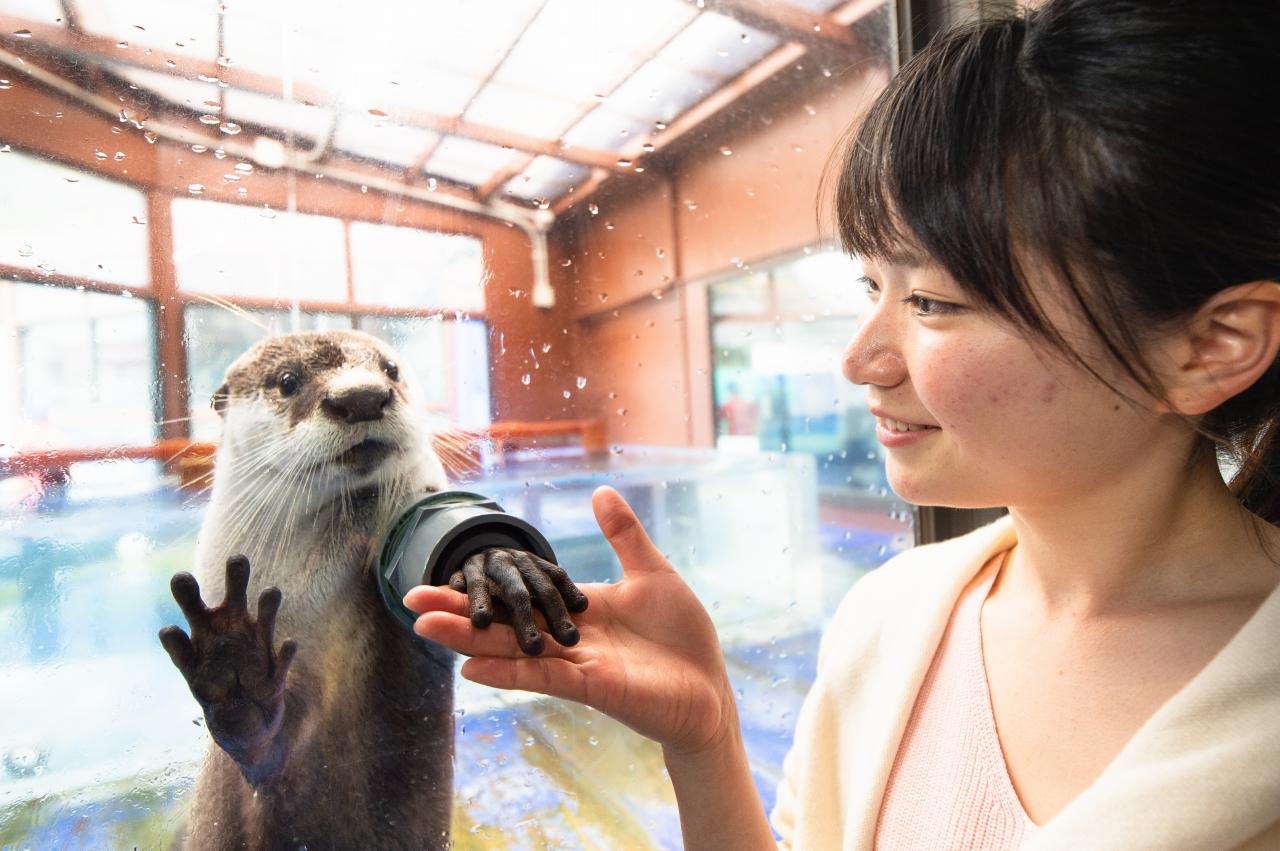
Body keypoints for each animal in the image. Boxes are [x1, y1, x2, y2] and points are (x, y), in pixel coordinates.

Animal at [156, 332, 588, 849]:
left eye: (390, 369)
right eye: (288, 381)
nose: (361, 396)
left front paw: (495, 562)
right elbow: (257, 746)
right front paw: (233, 662)